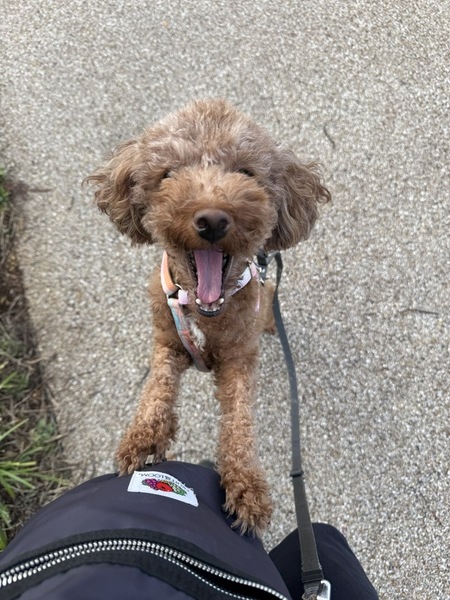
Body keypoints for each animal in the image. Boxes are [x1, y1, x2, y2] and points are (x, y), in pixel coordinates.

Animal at [86, 99, 330, 534]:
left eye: (246, 172)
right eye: (168, 174)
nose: (212, 219)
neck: (202, 310)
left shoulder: (239, 357)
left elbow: (239, 421)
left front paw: (246, 485)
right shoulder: (168, 341)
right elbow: (157, 387)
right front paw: (143, 439)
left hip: (266, 297)